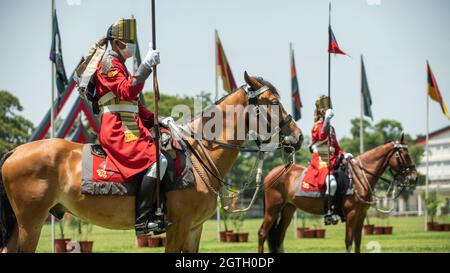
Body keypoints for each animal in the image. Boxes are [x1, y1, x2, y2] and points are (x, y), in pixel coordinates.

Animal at [0, 73, 302, 253]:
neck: (199, 154)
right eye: (273, 102)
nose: (298, 137)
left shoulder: (194, 229)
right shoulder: (178, 227)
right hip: (31, 223)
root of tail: (14, 152)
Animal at [256, 136, 418, 253]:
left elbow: (357, 242)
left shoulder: (361, 215)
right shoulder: (352, 215)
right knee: (262, 233)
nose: (415, 178)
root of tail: (271, 173)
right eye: (404, 155)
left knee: (279, 237)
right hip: (272, 210)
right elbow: (349, 242)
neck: (359, 177)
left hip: (288, 210)